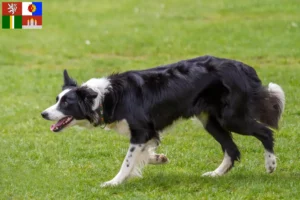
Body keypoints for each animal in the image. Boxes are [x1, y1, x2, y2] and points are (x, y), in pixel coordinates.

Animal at [41, 54, 284, 186]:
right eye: (57, 100)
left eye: (66, 103)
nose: (43, 114)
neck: (105, 97)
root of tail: (243, 67)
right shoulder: (149, 133)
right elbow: (143, 154)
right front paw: (158, 159)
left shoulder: (141, 131)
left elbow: (127, 161)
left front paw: (114, 182)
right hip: (210, 121)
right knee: (232, 149)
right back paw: (215, 174)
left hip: (232, 118)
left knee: (265, 133)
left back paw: (271, 165)